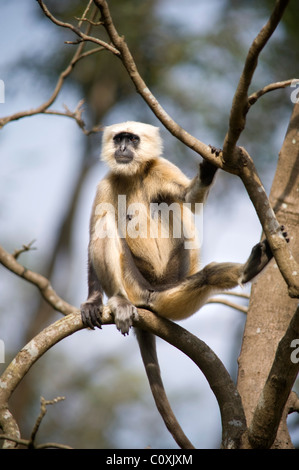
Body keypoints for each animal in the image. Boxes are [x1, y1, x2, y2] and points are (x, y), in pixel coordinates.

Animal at [81, 121, 288, 448]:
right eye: (119, 139)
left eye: (132, 139)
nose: (122, 148)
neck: (134, 175)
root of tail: (148, 296)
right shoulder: (105, 184)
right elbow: (94, 235)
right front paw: (91, 302)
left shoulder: (159, 168)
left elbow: (189, 199)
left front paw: (207, 170)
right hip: (132, 281)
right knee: (105, 223)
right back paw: (119, 302)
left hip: (169, 289)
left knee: (195, 254)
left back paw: (253, 265)